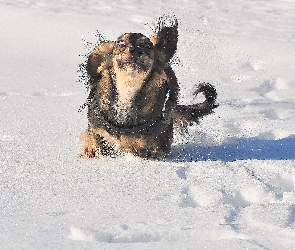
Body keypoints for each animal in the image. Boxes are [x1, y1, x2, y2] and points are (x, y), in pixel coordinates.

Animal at [80, 15, 219, 158]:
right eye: (121, 43)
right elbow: (94, 140)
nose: (135, 50)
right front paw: (90, 152)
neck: (128, 90)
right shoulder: (98, 131)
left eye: (147, 46)